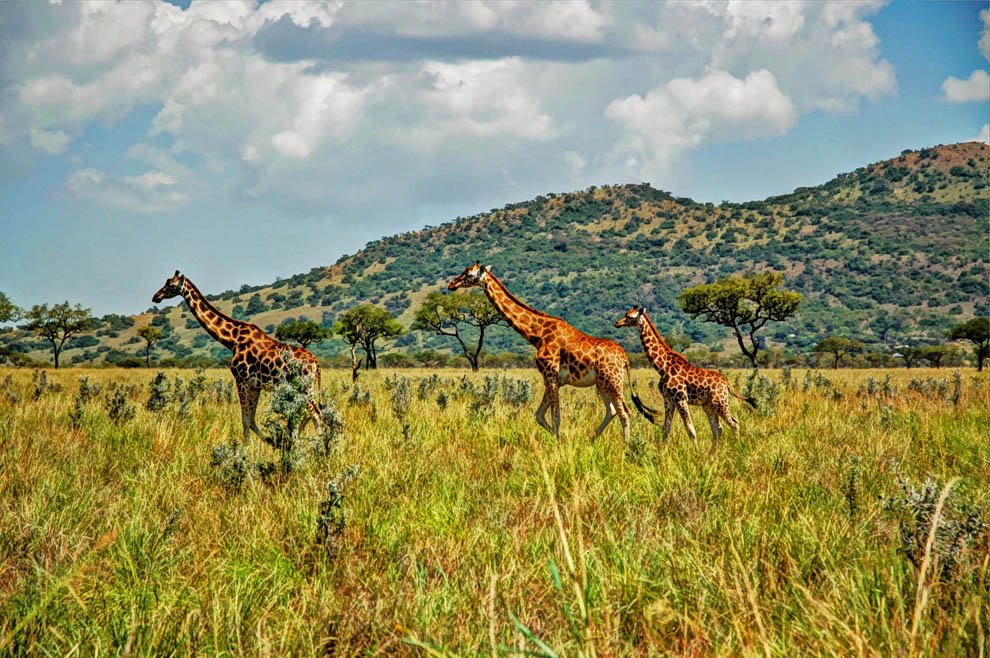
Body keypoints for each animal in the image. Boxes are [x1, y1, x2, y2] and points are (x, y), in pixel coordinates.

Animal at [152, 271, 322, 444]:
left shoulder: (241, 380)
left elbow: (245, 420)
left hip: (302, 386)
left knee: (316, 413)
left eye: (170, 284)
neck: (232, 340)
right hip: (307, 387)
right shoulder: (255, 385)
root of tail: (316, 363)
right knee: (312, 412)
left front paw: (247, 447)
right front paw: (270, 441)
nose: (156, 296)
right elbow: (252, 420)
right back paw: (297, 439)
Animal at [447, 262, 656, 442]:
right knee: (612, 411)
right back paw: (592, 439)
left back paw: (628, 446)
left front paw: (558, 444)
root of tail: (625, 358)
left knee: (625, 412)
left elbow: (555, 416)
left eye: (469, 274)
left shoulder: (550, 374)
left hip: (613, 381)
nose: (451, 284)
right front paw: (559, 439)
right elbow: (539, 416)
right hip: (602, 383)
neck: (537, 334)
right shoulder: (553, 379)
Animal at [615, 306, 756, 444]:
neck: (662, 367)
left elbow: (690, 430)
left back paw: (737, 447)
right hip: (708, 405)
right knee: (718, 428)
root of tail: (726, 381)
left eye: (629, 316)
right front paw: (662, 450)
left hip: (720, 401)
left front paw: (696, 450)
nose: (617, 323)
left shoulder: (681, 398)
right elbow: (666, 428)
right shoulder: (668, 399)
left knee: (734, 423)